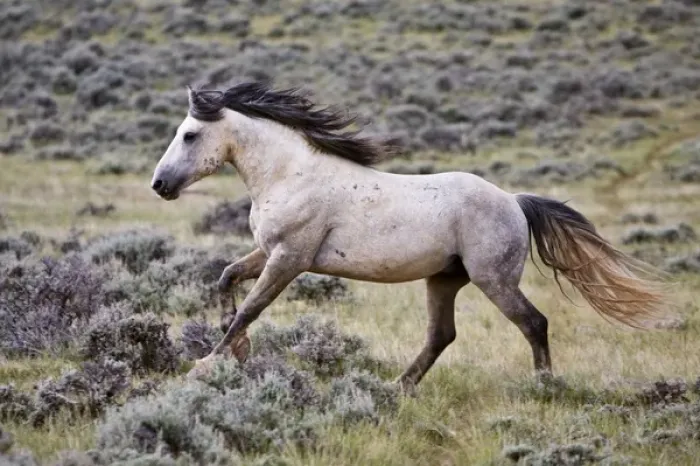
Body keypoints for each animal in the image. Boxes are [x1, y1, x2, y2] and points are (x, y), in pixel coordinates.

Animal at [151, 81, 669, 388]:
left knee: (533, 322)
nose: (159, 185)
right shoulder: (268, 251)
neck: (289, 174)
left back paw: (544, 385)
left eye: (190, 135)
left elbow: (251, 308)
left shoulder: (290, 258)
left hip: (493, 279)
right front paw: (234, 349)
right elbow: (226, 278)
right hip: (444, 279)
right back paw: (398, 388)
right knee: (442, 335)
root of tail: (514, 201)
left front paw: (210, 362)